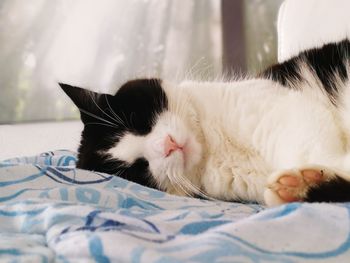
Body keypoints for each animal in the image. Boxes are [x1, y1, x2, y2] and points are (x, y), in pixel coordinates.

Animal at [60, 39, 350, 208]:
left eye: (137, 121)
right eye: (137, 168)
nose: (167, 145)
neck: (213, 149)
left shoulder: (285, 108)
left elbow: (312, 143)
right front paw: (302, 184)